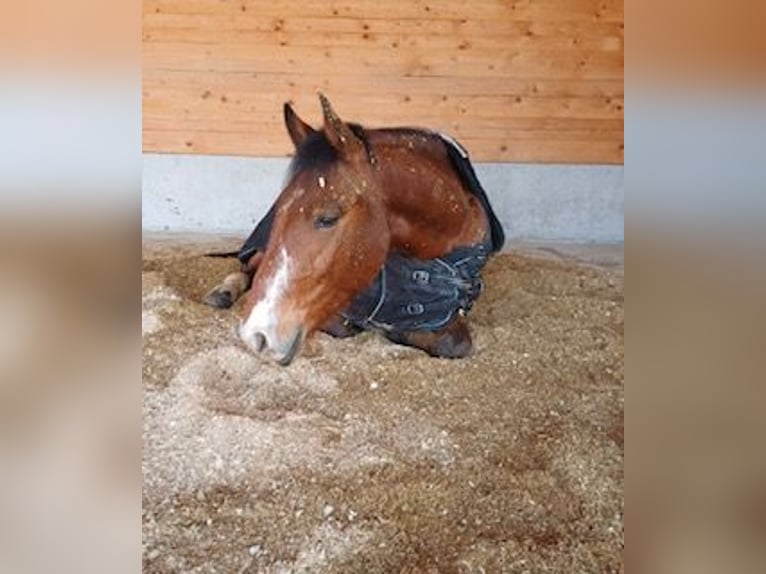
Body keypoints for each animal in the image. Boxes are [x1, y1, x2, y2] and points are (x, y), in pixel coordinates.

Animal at [204, 94, 505, 365]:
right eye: (279, 208)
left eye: (328, 218)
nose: (256, 335)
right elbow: (344, 325)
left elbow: (452, 343)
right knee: (250, 264)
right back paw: (224, 291)